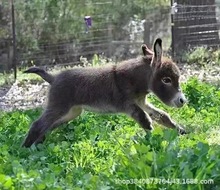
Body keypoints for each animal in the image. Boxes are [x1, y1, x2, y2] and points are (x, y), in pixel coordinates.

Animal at [22, 38, 187, 148]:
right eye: (166, 80)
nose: (182, 101)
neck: (134, 81)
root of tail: (54, 77)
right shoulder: (129, 105)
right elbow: (145, 120)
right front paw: (154, 142)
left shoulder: (141, 102)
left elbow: (163, 116)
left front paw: (183, 132)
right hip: (59, 107)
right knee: (38, 124)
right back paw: (24, 150)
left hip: (72, 112)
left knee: (49, 125)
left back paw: (38, 145)